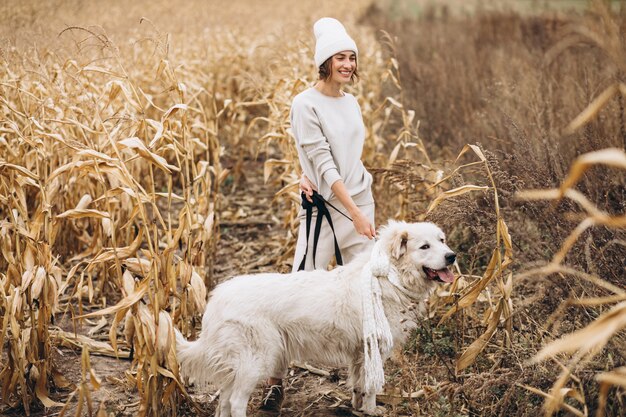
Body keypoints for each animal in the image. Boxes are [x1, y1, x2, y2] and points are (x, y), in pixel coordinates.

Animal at [176, 219, 454, 414]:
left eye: (442, 240)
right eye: (425, 246)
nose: (452, 256)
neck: (388, 276)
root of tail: (216, 300)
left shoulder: (358, 353)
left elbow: (359, 384)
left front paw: (358, 408)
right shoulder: (373, 347)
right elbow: (371, 386)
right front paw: (372, 410)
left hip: (237, 366)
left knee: (223, 401)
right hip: (256, 360)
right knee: (235, 402)